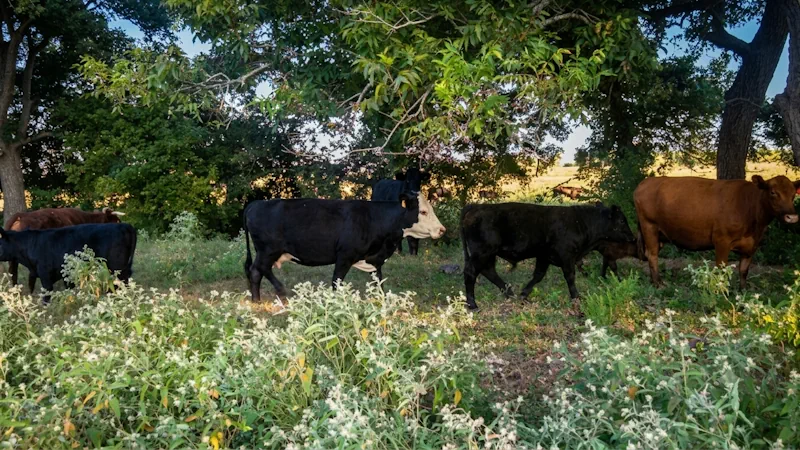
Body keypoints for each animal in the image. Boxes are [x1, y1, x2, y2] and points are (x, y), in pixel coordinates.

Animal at [244, 194, 445, 303]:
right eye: (423, 211)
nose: (442, 230)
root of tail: (256, 203)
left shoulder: (374, 260)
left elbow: (379, 283)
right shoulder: (344, 257)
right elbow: (337, 282)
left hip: (266, 251)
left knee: (256, 271)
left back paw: (256, 300)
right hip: (268, 250)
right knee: (259, 269)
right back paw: (278, 289)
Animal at [460, 202, 635, 310]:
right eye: (621, 220)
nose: (633, 238)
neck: (581, 222)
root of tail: (476, 206)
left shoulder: (543, 257)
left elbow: (538, 276)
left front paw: (524, 294)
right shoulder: (567, 256)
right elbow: (570, 277)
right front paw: (576, 297)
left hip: (489, 254)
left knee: (489, 271)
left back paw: (509, 293)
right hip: (482, 252)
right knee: (471, 272)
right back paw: (473, 304)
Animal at [634, 175, 800, 289]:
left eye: (793, 194)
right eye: (773, 192)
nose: (792, 217)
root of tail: (646, 182)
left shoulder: (751, 246)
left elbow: (744, 270)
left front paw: (743, 292)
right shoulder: (722, 240)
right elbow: (721, 270)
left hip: (659, 234)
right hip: (649, 226)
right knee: (652, 255)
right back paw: (658, 283)